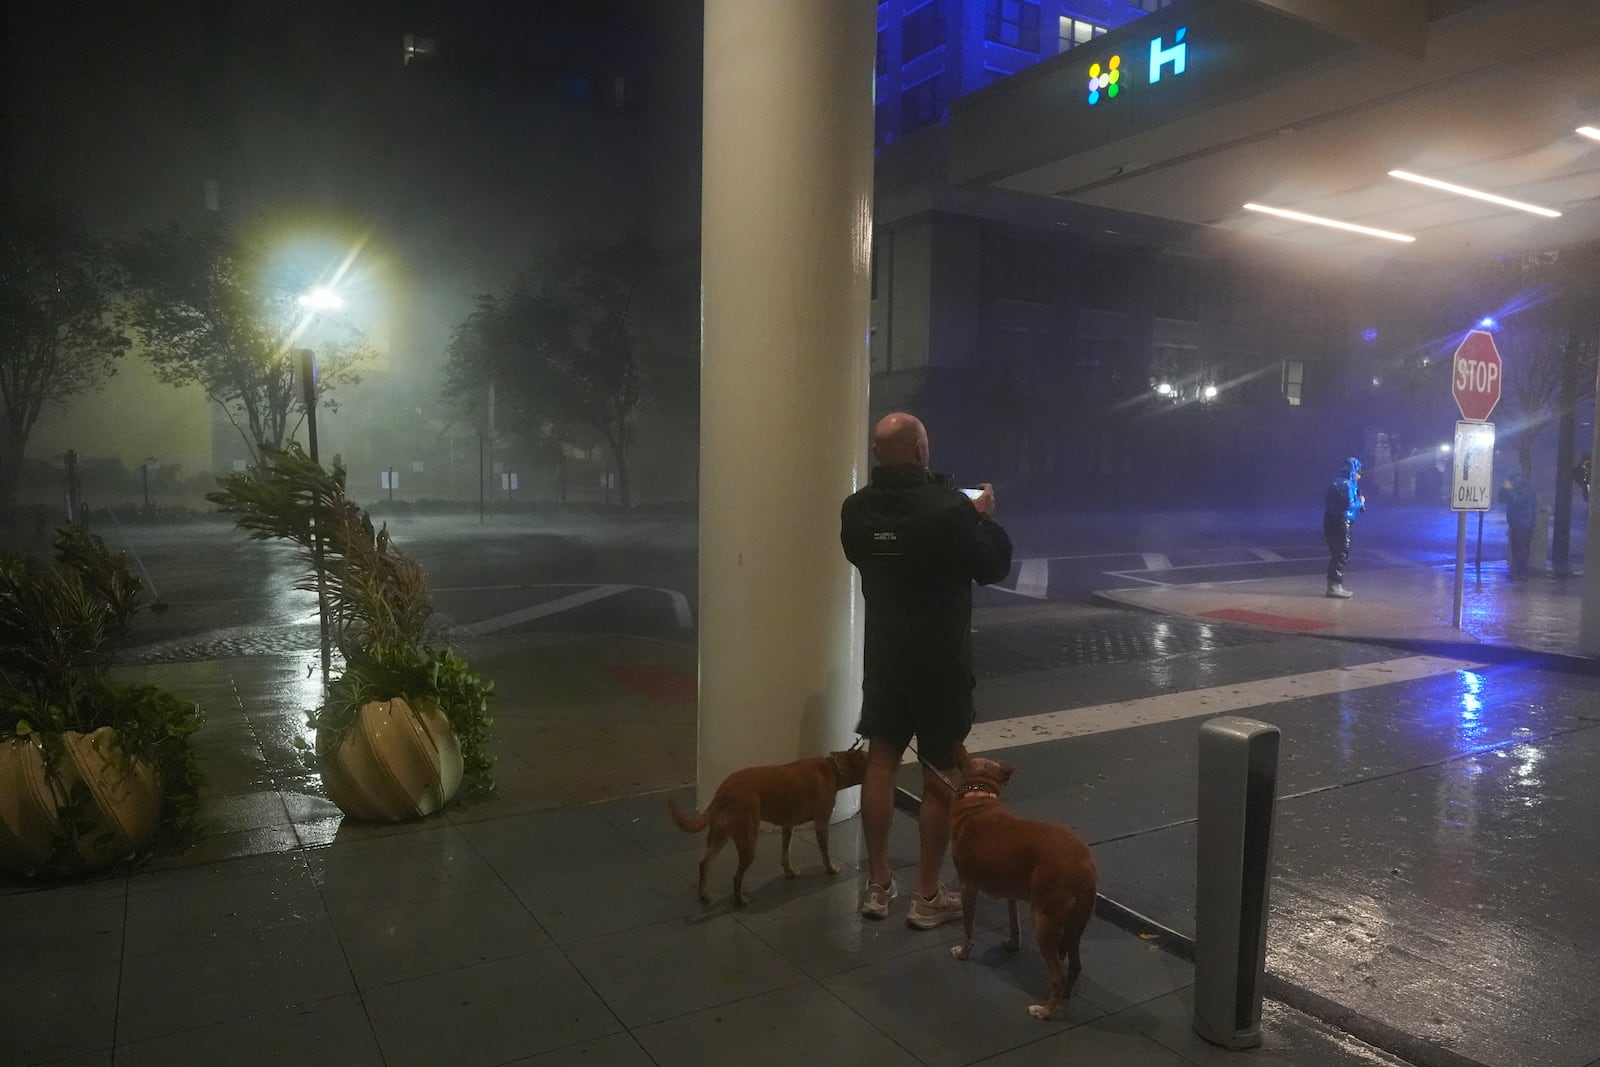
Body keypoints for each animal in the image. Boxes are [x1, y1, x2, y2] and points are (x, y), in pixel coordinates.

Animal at [668, 748, 870, 908]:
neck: (835, 768)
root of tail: (724, 791)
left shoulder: (788, 827)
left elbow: (785, 853)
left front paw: (789, 872)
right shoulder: (821, 824)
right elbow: (825, 853)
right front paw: (831, 869)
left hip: (720, 836)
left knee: (704, 863)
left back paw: (704, 895)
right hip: (748, 842)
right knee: (736, 877)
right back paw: (740, 900)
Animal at [947, 751, 1100, 1017]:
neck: (979, 797)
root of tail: (1085, 868)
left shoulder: (968, 886)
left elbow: (968, 929)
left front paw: (964, 953)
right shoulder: (1012, 893)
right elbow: (1013, 922)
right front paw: (1012, 943)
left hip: (1043, 921)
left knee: (1058, 974)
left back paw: (1045, 1011)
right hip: (1074, 928)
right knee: (1075, 967)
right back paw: (1064, 996)